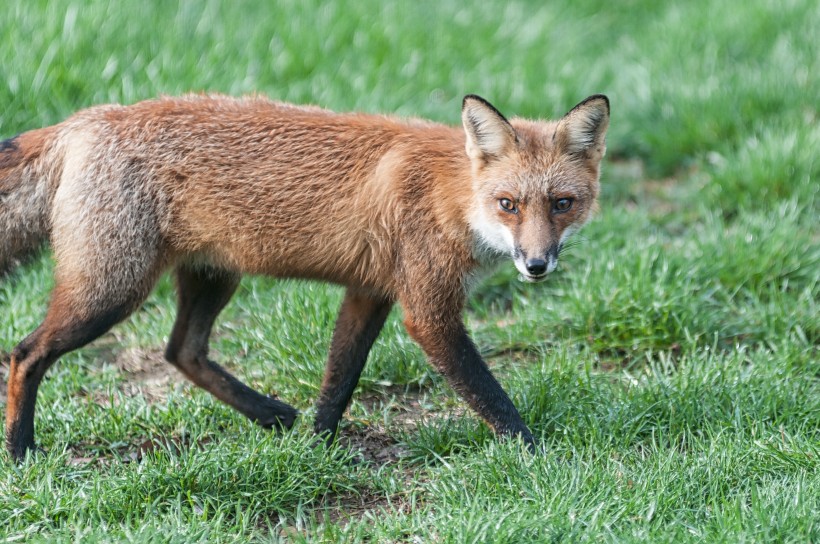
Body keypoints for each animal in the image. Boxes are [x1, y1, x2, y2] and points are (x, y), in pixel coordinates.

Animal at [0, 92, 608, 460]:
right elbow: (491, 397)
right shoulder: (427, 312)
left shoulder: (370, 292)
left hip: (212, 277)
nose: (536, 265)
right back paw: (20, 450)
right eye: (508, 204)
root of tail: (86, 119)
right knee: (26, 353)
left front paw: (318, 448)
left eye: (562, 204)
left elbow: (339, 379)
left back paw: (270, 414)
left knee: (181, 352)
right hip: (110, 292)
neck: (451, 195)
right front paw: (539, 456)